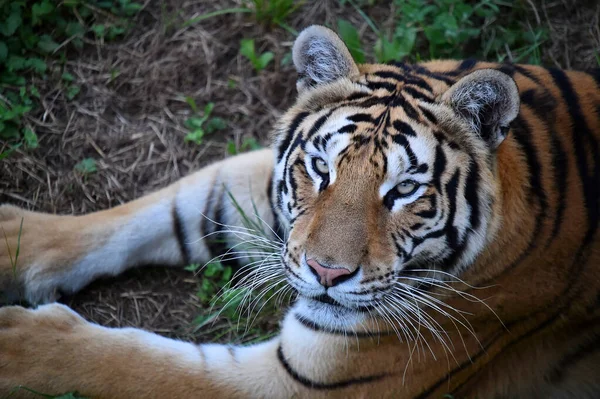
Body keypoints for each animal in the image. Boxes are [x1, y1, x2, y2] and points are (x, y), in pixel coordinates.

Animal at [1, 25, 600, 399]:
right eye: (320, 167)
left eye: (405, 190)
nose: (326, 274)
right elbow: (151, 212)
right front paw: (12, 237)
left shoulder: (310, 382)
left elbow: (138, 365)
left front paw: (17, 345)